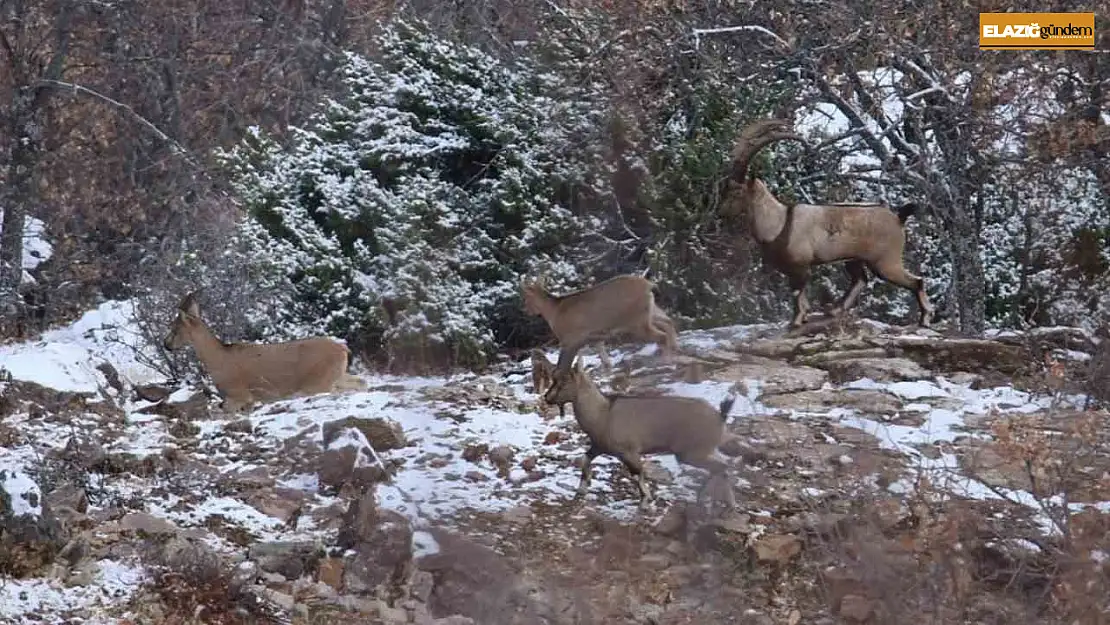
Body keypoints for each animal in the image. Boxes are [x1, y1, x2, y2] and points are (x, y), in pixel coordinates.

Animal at [162, 290, 366, 412]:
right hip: (337, 375)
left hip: (318, 381)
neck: (218, 359)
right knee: (361, 382)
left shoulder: (239, 395)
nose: (166, 344)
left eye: (175, 328)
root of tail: (343, 348)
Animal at [519, 276, 674, 379]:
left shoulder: (569, 339)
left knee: (662, 336)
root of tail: (649, 285)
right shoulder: (595, 336)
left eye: (526, 298)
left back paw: (667, 362)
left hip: (637, 321)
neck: (554, 312)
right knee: (668, 322)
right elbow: (603, 360)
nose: (526, 310)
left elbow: (563, 366)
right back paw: (675, 350)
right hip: (650, 312)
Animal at [543, 359, 737, 510]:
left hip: (691, 453)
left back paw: (706, 498)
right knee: (723, 467)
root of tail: (720, 416)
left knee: (721, 467)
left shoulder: (628, 452)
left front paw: (645, 501)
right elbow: (585, 459)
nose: (547, 398)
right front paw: (582, 488)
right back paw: (725, 502)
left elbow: (638, 472)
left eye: (564, 381)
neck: (603, 413)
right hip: (703, 451)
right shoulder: (599, 446)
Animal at [723, 119, 932, 330]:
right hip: (855, 259)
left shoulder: (800, 267)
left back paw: (924, 320)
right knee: (860, 279)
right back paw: (834, 310)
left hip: (885, 262)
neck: (779, 223)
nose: (722, 211)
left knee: (916, 281)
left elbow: (797, 294)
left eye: (737, 192)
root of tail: (898, 217)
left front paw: (796, 321)